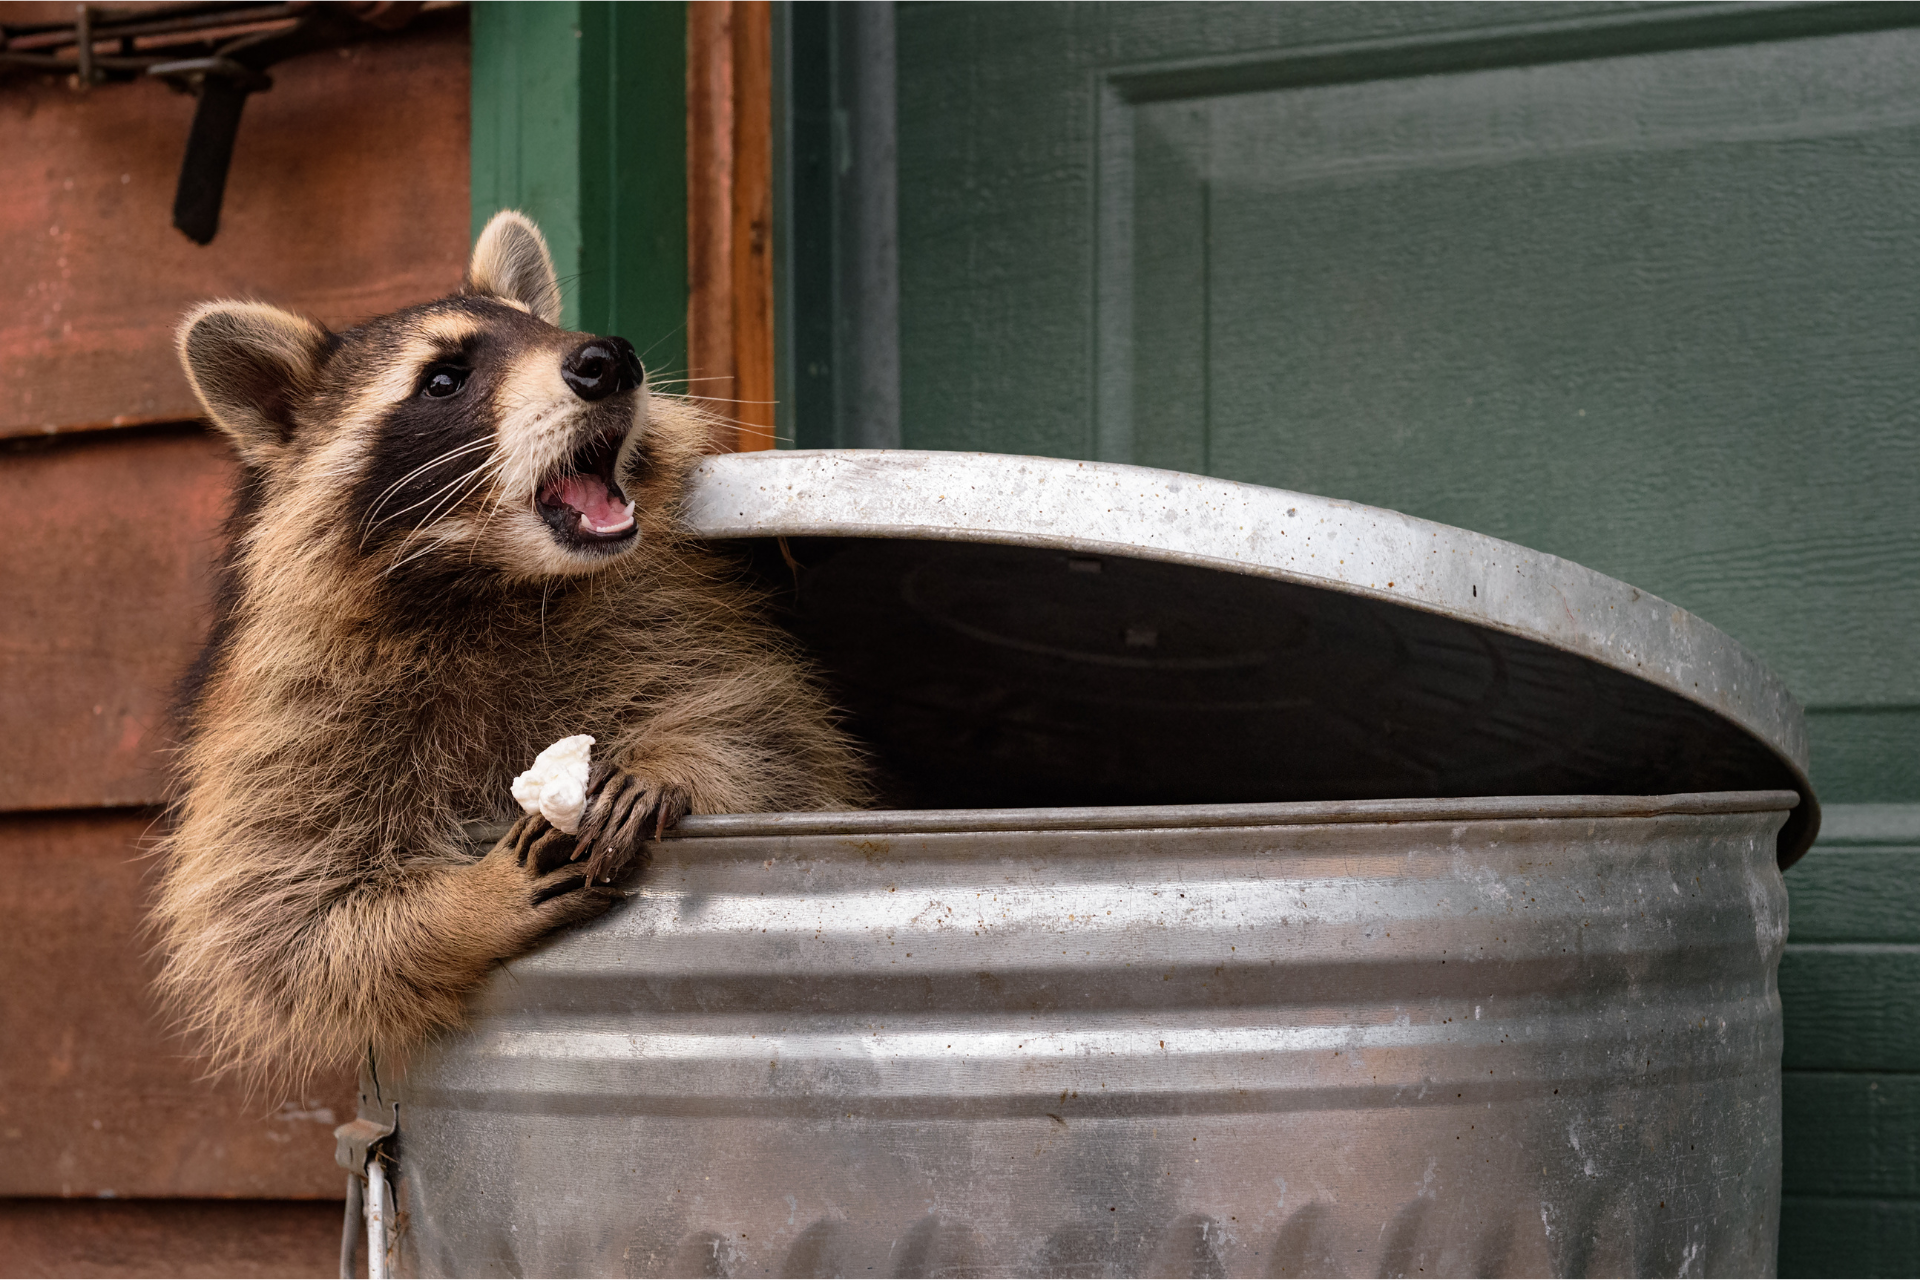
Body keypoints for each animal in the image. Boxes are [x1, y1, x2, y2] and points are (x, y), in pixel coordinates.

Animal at [153, 214, 867, 1090]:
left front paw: (674, 761)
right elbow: (282, 922)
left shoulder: (668, 615)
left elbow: (770, 732)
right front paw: (464, 908)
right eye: (443, 379)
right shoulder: (291, 716)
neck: (501, 578)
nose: (607, 358)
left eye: (544, 330)